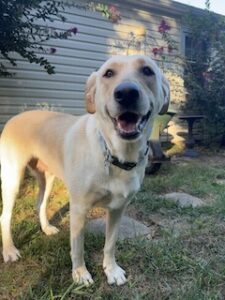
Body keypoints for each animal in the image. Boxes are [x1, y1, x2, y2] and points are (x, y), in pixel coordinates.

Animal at [0, 55, 169, 288]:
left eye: (147, 71)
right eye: (108, 73)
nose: (126, 93)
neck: (114, 153)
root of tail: (16, 116)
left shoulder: (118, 208)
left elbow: (110, 244)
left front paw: (111, 270)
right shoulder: (79, 208)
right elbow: (77, 246)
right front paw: (80, 274)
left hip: (47, 177)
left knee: (40, 203)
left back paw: (46, 228)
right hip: (12, 179)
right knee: (4, 216)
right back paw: (10, 250)